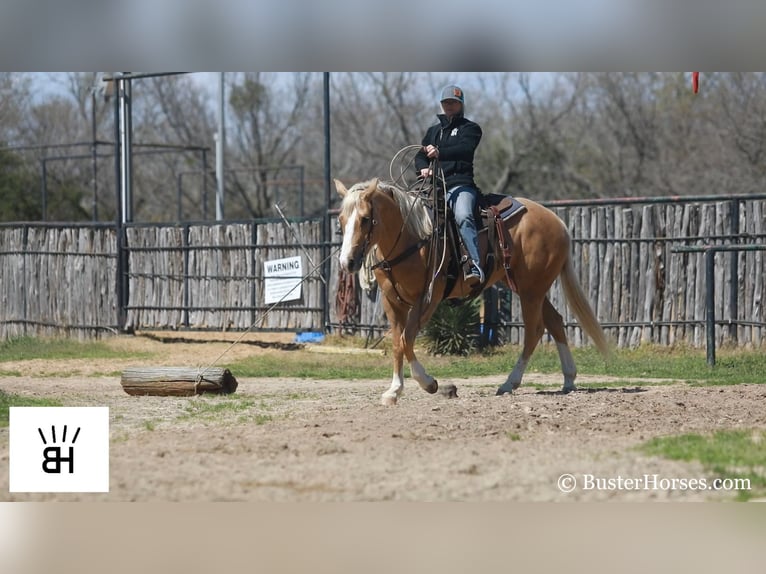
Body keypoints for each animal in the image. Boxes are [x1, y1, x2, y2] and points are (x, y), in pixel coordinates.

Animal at [336, 178, 612, 408]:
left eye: (365, 218)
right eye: (340, 219)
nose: (347, 262)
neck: (413, 238)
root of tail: (558, 222)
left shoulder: (427, 300)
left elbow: (406, 340)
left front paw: (430, 383)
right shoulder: (391, 302)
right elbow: (397, 343)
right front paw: (394, 391)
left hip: (531, 292)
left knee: (534, 331)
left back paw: (509, 383)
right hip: (529, 287)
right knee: (555, 321)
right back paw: (568, 379)